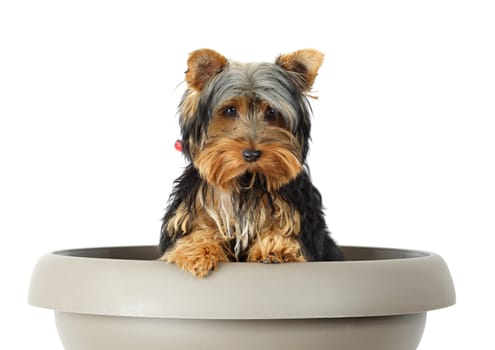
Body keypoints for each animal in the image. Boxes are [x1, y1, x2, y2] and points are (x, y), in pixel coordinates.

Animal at [160, 47, 344, 276]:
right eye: (230, 110)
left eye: (271, 112)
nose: (251, 154)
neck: (246, 181)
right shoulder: (195, 210)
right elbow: (196, 231)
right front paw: (199, 253)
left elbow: (280, 231)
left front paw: (276, 249)